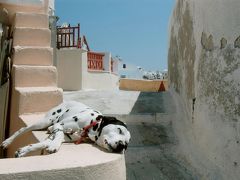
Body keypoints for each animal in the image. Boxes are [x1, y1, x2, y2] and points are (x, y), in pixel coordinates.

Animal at [0, 101, 131, 158]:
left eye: (127, 144)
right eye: (119, 130)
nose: (122, 146)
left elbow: (41, 144)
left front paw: (24, 151)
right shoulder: (60, 125)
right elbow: (58, 136)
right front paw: (54, 146)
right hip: (45, 121)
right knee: (23, 129)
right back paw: (7, 142)